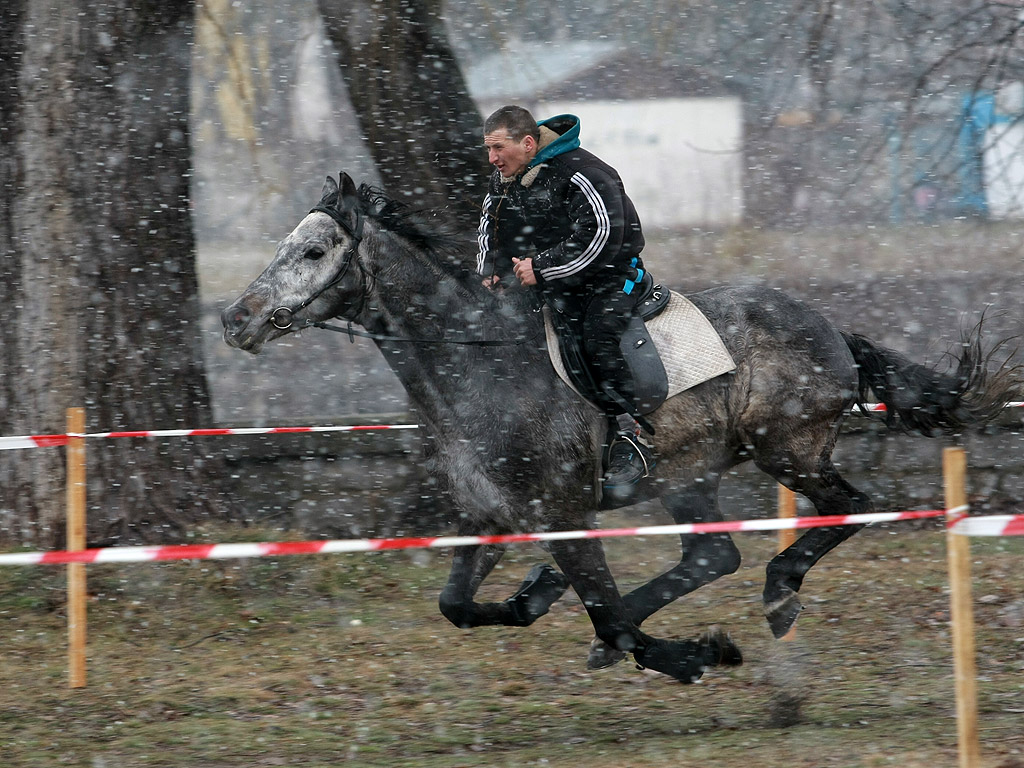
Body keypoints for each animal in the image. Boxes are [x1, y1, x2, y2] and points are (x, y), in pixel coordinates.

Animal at [220, 174, 1011, 684]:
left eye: (314, 252)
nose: (236, 318)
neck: (478, 365)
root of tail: (832, 332)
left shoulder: (566, 517)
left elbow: (606, 618)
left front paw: (697, 656)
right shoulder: (490, 519)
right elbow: (457, 606)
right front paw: (537, 593)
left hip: (788, 450)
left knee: (848, 506)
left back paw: (780, 592)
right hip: (693, 471)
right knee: (712, 554)